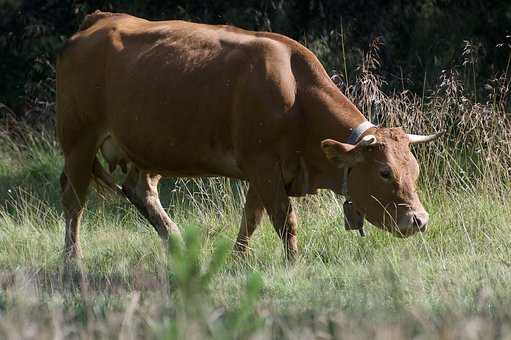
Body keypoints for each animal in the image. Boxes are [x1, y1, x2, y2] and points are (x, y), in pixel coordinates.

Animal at [57, 10, 444, 260]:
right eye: (384, 172)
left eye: (414, 171)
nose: (420, 220)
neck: (295, 93)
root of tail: (101, 19)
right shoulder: (262, 165)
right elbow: (284, 220)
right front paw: (293, 263)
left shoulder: (266, 172)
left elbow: (251, 218)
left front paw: (238, 260)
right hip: (78, 140)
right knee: (74, 202)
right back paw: (72, 265)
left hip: (144, 147)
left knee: (140, 190)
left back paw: (179, 246)